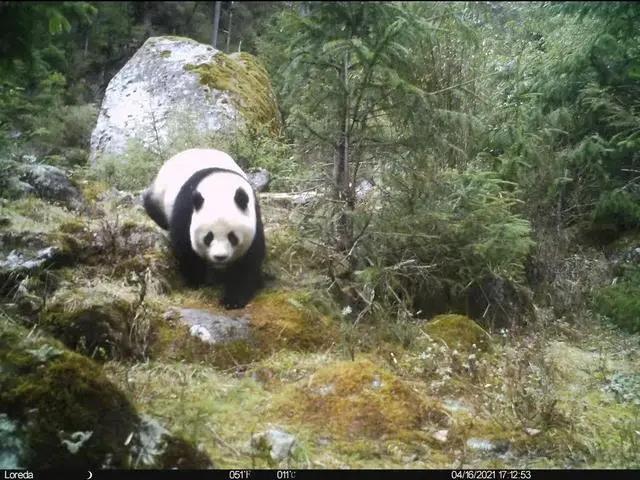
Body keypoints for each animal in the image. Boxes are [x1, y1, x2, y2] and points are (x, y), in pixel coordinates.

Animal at [142, 148, 264, 310]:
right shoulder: (186, 208)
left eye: (232, 237)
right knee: (152, 206)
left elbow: (249, 260)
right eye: (208, 237)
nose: (220, 257)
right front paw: (196, 280)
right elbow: (185, 246)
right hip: (160, 192)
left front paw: (232, 300)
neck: (220, 188)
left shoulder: (253, 213)